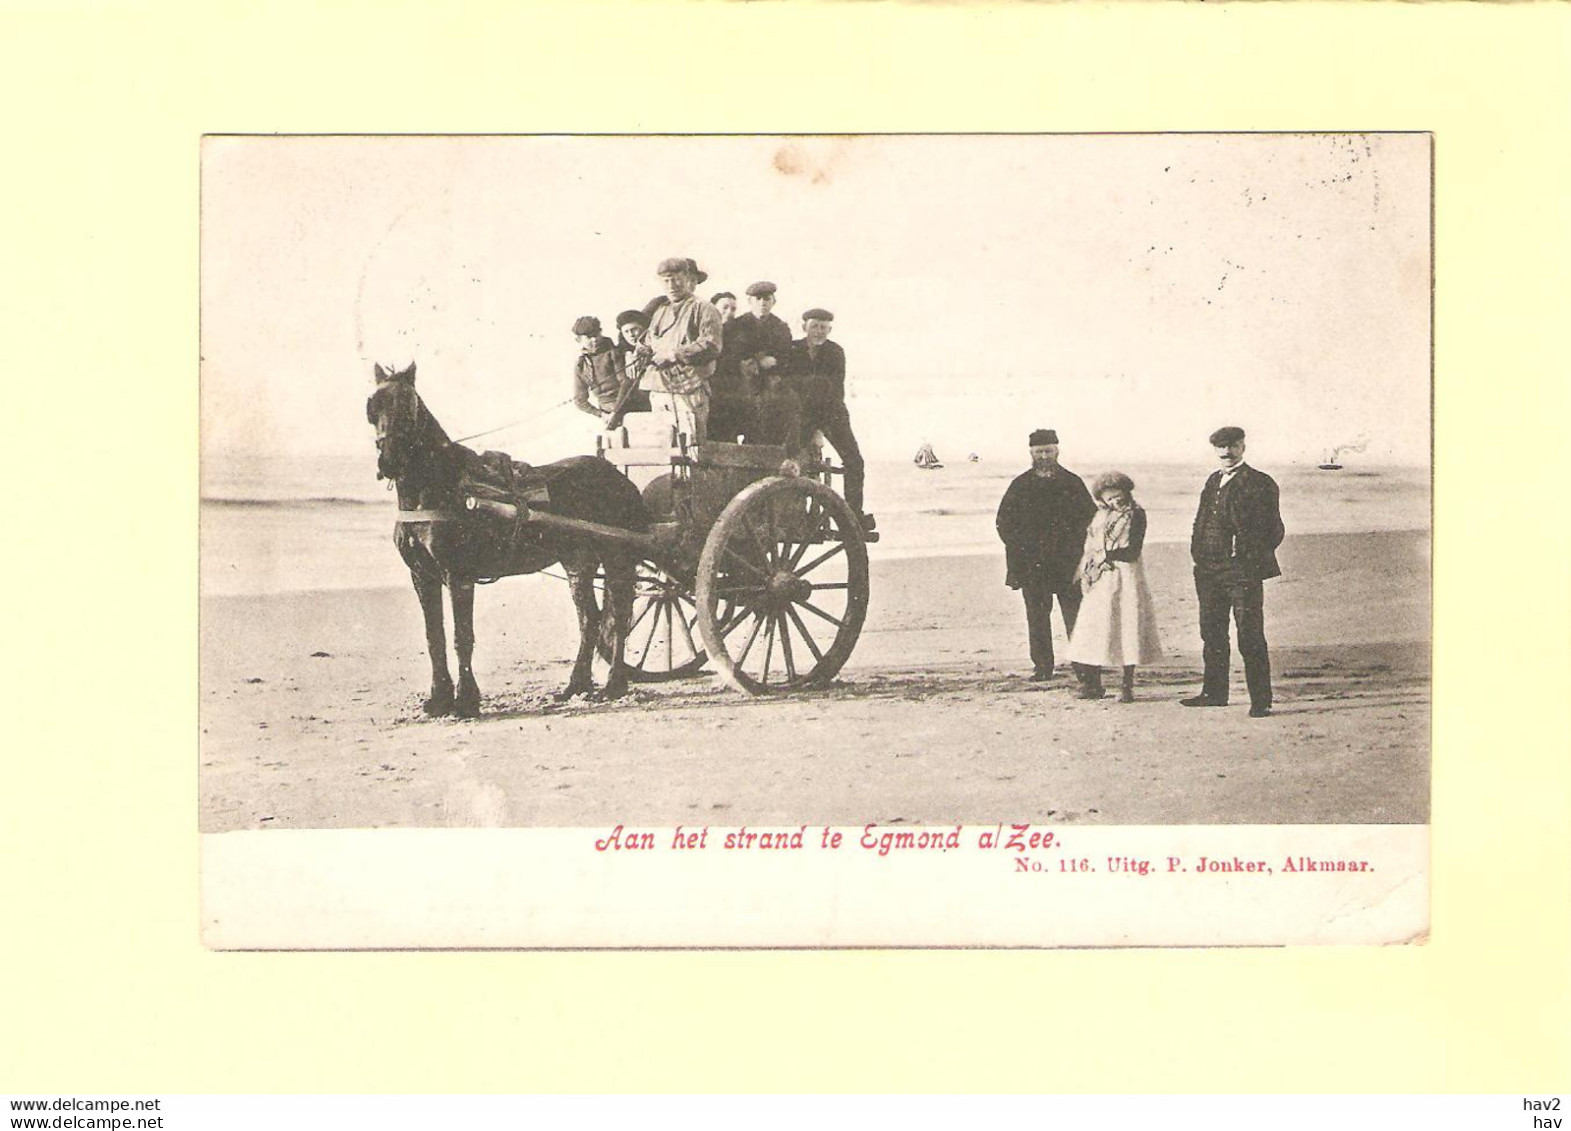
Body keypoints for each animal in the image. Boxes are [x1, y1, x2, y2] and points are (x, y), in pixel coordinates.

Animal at [364, 362, 647, 716]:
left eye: (408, 405)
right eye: (373, 405)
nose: (388, 462)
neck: (442, 487)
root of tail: (618, 477)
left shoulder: (458, 575)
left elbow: (461, 636)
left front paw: (466, 701)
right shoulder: (422, 575)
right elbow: (434, 637)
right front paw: (439, 699)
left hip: (617, 558)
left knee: (619, 618)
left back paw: (614, 684)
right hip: (577, 562)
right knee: (590, 620)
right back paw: (576, 685)